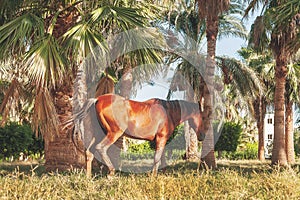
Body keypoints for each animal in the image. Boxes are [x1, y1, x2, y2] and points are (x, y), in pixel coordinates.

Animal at [71, 93, 206, 176]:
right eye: (204, 117)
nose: (202, 136)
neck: (169, 111)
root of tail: (97, 100)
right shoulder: (161, 138)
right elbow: (157, 158)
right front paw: (153, 176)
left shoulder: (159, 140)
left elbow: (161, 158)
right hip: (113, 133)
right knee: (101, 148)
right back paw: (111, 172)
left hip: (99, 134)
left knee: (89, 152)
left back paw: (89, 178)